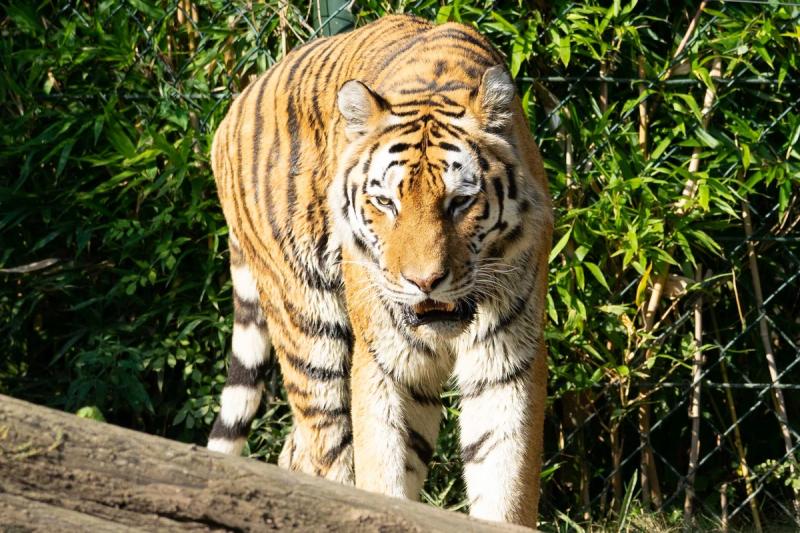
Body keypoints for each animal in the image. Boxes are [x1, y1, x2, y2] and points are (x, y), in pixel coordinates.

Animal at [206, 14, 553, 528]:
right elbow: (383, 473)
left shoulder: (506, 362)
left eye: (460, 202)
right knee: (323, 448)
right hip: (308, 328)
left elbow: (504, 484)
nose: (424, 282)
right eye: (386, 202)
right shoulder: (387, 361)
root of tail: (237, 104)